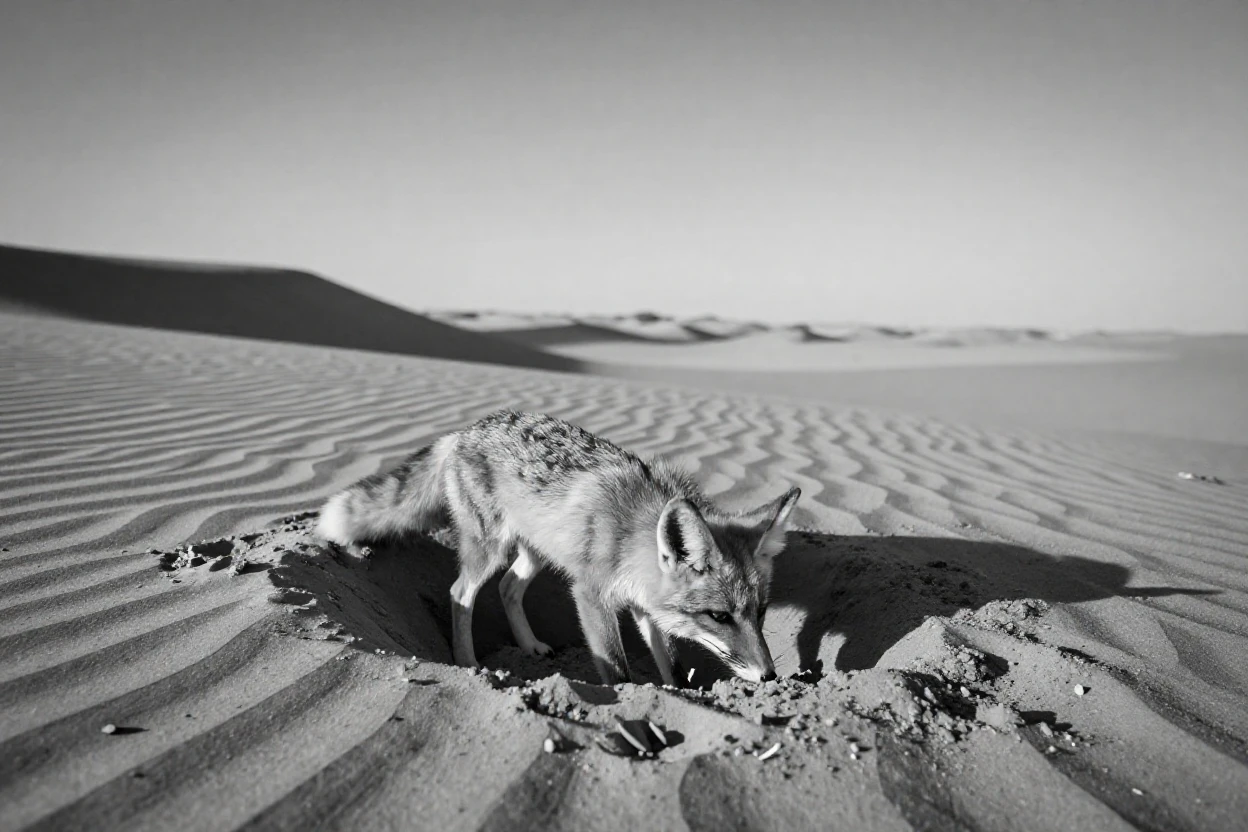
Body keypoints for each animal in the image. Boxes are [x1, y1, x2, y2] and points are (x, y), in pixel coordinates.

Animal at [316, 410, 800, 687]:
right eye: (719, 617)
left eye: (759, 612)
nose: (770, 676)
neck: (632, 533)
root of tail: (464, 431)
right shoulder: (591, 595)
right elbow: (616, 667)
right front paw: (634, 701)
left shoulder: (644, 605)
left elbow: (672, 666)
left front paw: (679, 697)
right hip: (490, 549)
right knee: (460, 593)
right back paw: (467, 661)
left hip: (535, 553)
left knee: (508, 588)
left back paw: (530, 646)